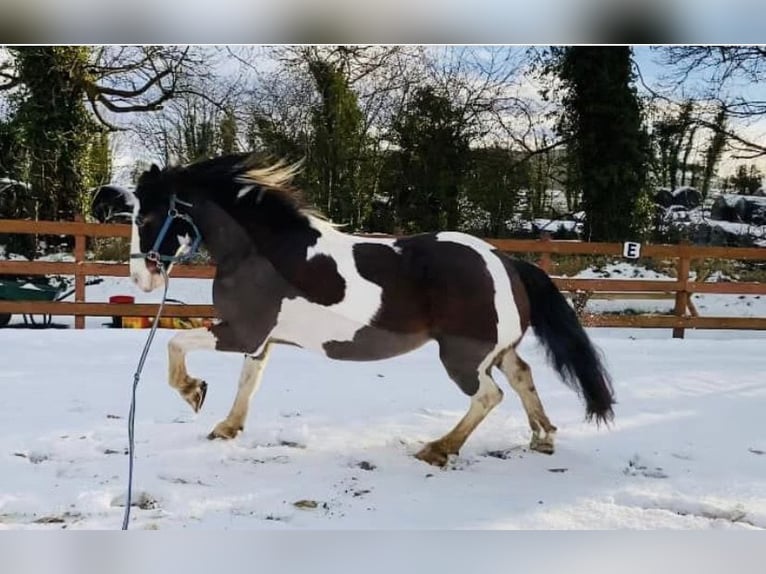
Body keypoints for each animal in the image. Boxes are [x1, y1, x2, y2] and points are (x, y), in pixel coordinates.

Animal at [127, 153, 615, 467]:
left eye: (146, 219)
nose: (140, 278)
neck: (262, 253)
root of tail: (505, 260)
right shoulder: (261, 339)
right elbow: (250, 381)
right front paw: (226, 428)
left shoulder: (239, 331)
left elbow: (175, 342)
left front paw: (193, 391)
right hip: (495, 350)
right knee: (522, 376)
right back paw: (542, 438)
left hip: (461, 357)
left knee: (488, 395)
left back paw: (438, 449)